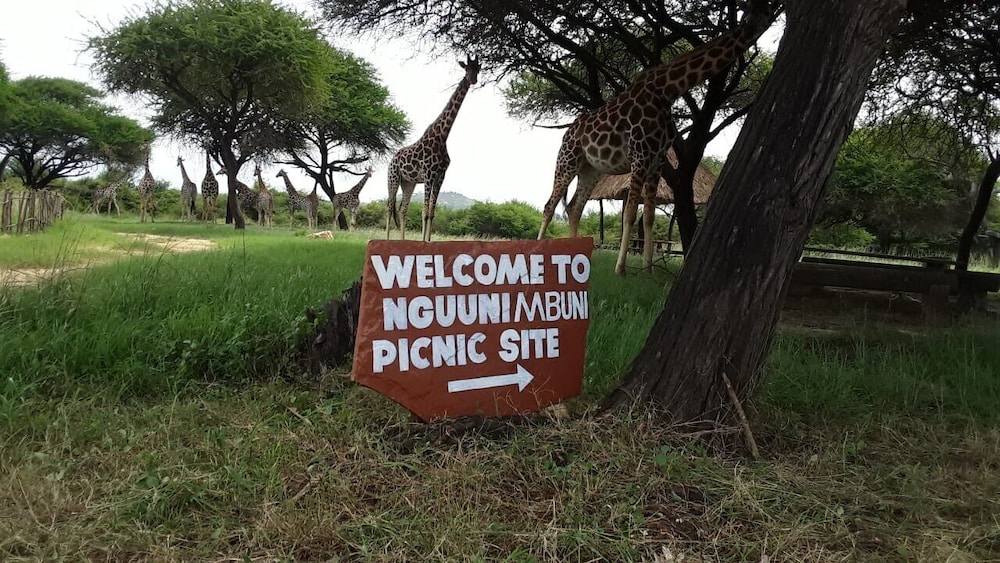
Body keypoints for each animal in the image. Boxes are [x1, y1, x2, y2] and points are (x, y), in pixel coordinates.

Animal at [386, 56, 480, 241]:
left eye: (477, 69)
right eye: (466, 68)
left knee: (402, 209)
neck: (442, 136)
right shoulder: (429, 174)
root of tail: (392, 159)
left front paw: (429, 241)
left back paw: (402, 241)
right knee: (389, 207)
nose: (473, 80)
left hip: (408, 183)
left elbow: (432, 212)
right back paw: (386, 240)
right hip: (393, 178)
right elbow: (424, 212)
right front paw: (423, 242)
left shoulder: (440, 176)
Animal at [537, 0, 773, 275]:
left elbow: (648, 216)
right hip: (568, 160)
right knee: (550, 205)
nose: (754, 30)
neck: (667, 91)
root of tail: (567, 133)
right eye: (752, 13)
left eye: (767, 10)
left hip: (590, 169)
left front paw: (647, 271)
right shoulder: (640, 154)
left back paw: (583, 263)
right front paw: (621, 269)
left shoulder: (657, 160)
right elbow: (630, 213)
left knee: (575, 207)